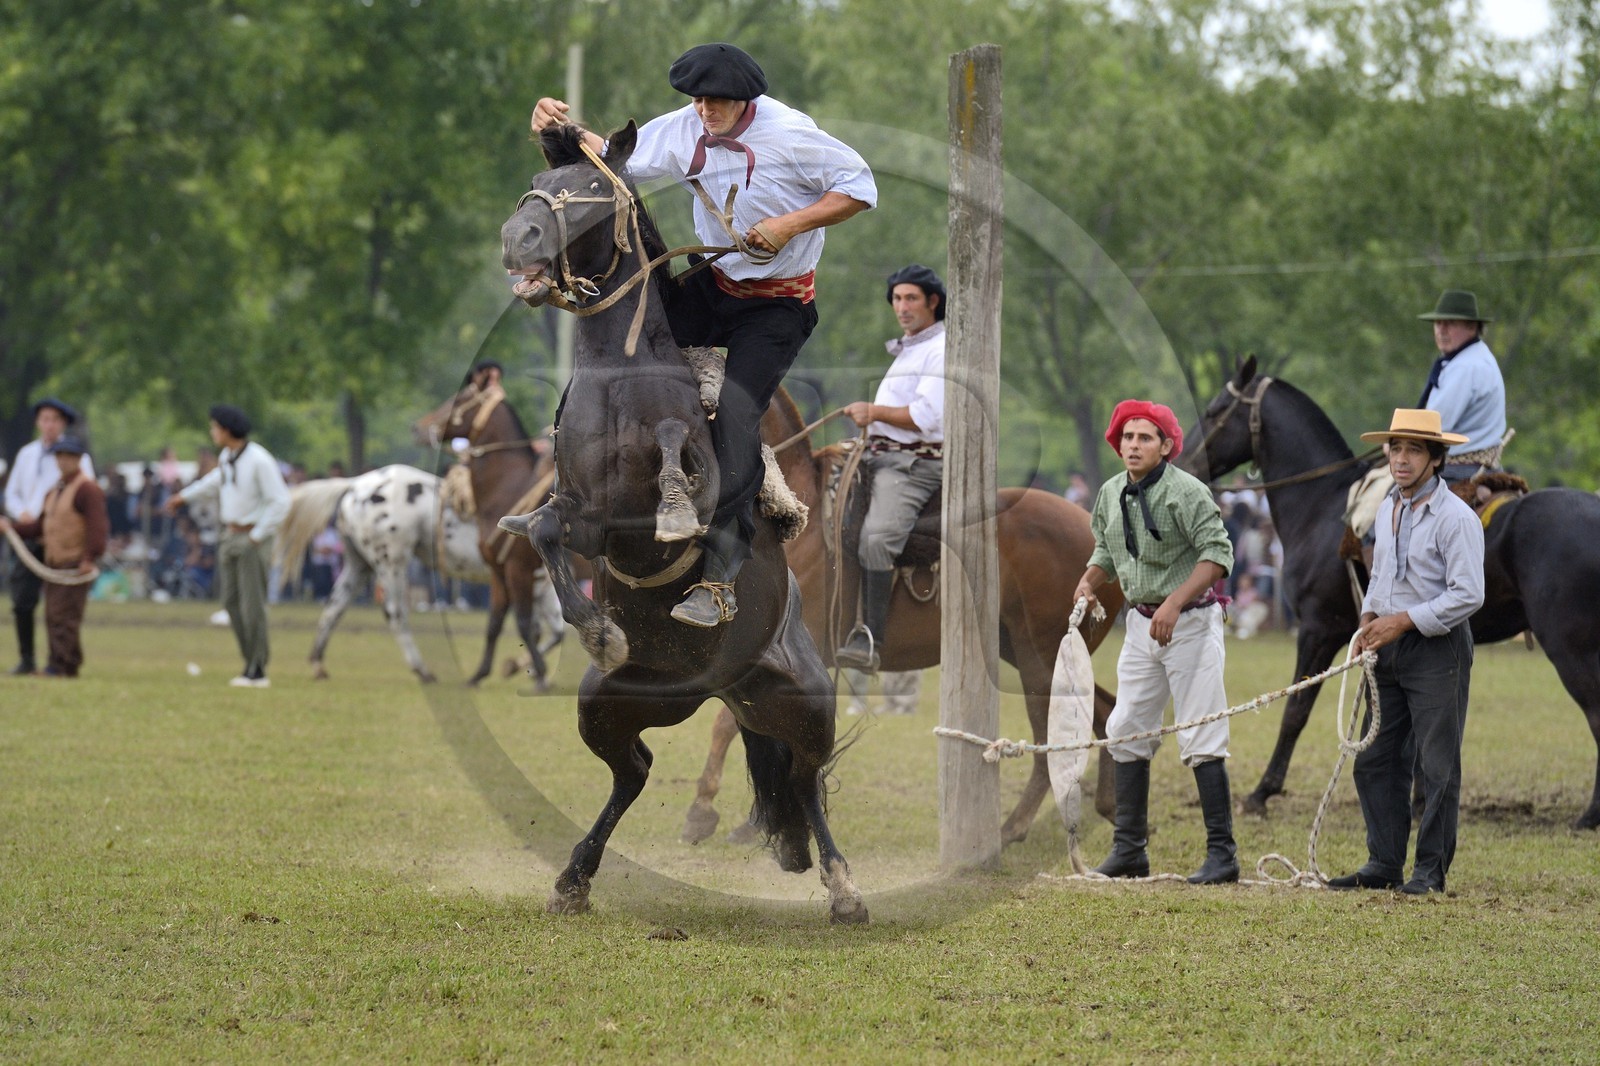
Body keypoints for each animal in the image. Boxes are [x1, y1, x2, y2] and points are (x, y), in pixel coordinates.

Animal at [274, 464, 562, 683]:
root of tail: (356, 485)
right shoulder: (526, 578)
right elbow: (543, 629)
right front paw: (528, 669)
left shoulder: (532, 583)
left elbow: (549, 631)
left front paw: (520, 666)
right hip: (392, 561)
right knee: (395, 612)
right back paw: (422, 670)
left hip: (359, 565)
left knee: (334, 608)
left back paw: (318, 664)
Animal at [680, 388, 1124, 847]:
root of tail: (1097, 532)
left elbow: (732, 724)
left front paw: (705, 812)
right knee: (1104, 712)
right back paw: (1109, 806)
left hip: (1041, 660)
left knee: (1049, 738)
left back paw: (1013, 826)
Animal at [1183, 355, 1600, 830]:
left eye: (1215, 410)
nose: (1185, 461)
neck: (1321, 507)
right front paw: (1417, 801)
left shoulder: (1318, 628)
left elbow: (1296, 709)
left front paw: (1261, 792)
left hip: (1570, 647)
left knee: (1596, 713)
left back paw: (1590, 814)